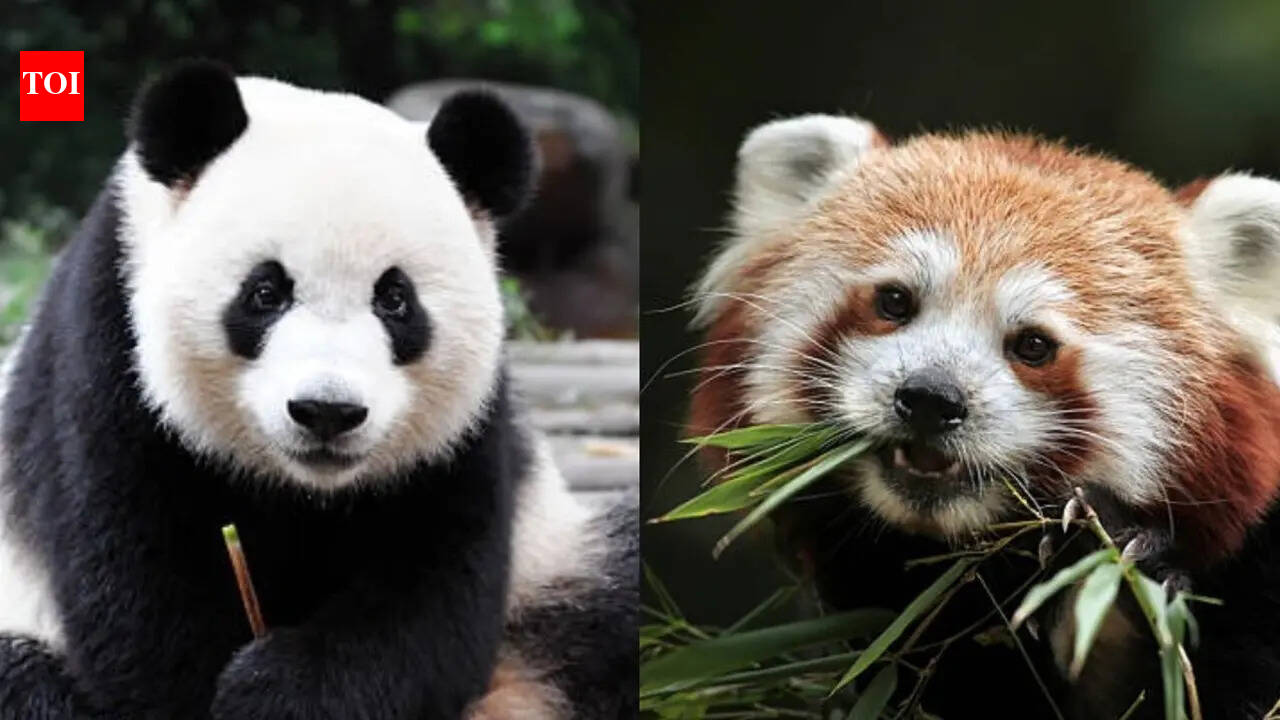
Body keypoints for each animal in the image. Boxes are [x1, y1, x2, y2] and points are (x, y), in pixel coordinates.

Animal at [0, 60, 637, 719]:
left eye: (395, 299)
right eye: (265, 292)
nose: (327, 411)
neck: (304, 489)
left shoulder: (463, 434)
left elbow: (434, 595)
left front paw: (276, 691)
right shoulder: (105, 359)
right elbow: (138, 597)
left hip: (556, 576)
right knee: (22, 679)